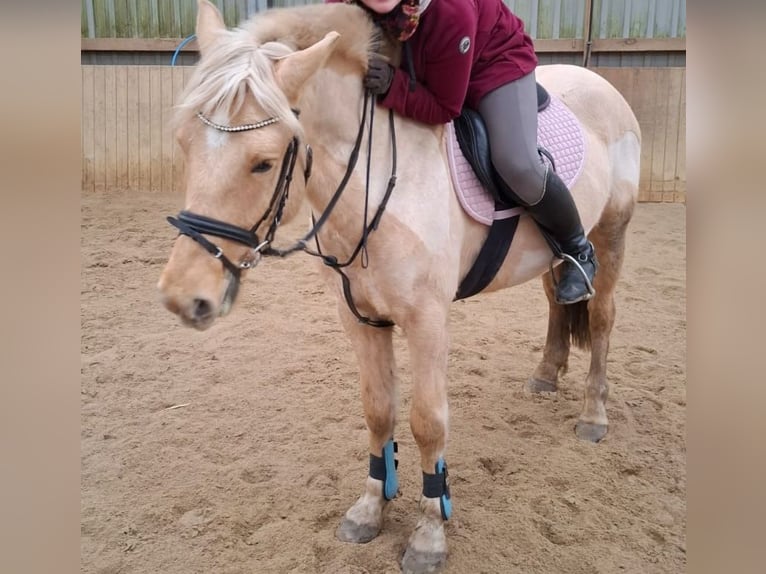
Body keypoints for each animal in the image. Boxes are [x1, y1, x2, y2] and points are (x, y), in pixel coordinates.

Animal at [159, 2, 644, 572]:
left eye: (262, 161)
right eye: (184, 144)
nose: (184, 297)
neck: (377, 183)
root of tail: (599, 82)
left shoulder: (427, 321)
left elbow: (427, 422)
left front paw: (430, 532)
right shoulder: (360, 318)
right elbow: (378, 411)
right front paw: (370, 509)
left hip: (610, 232)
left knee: (602, 317)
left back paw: (593, 415)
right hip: (552, 257)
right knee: (557, 300)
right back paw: (546, 374)